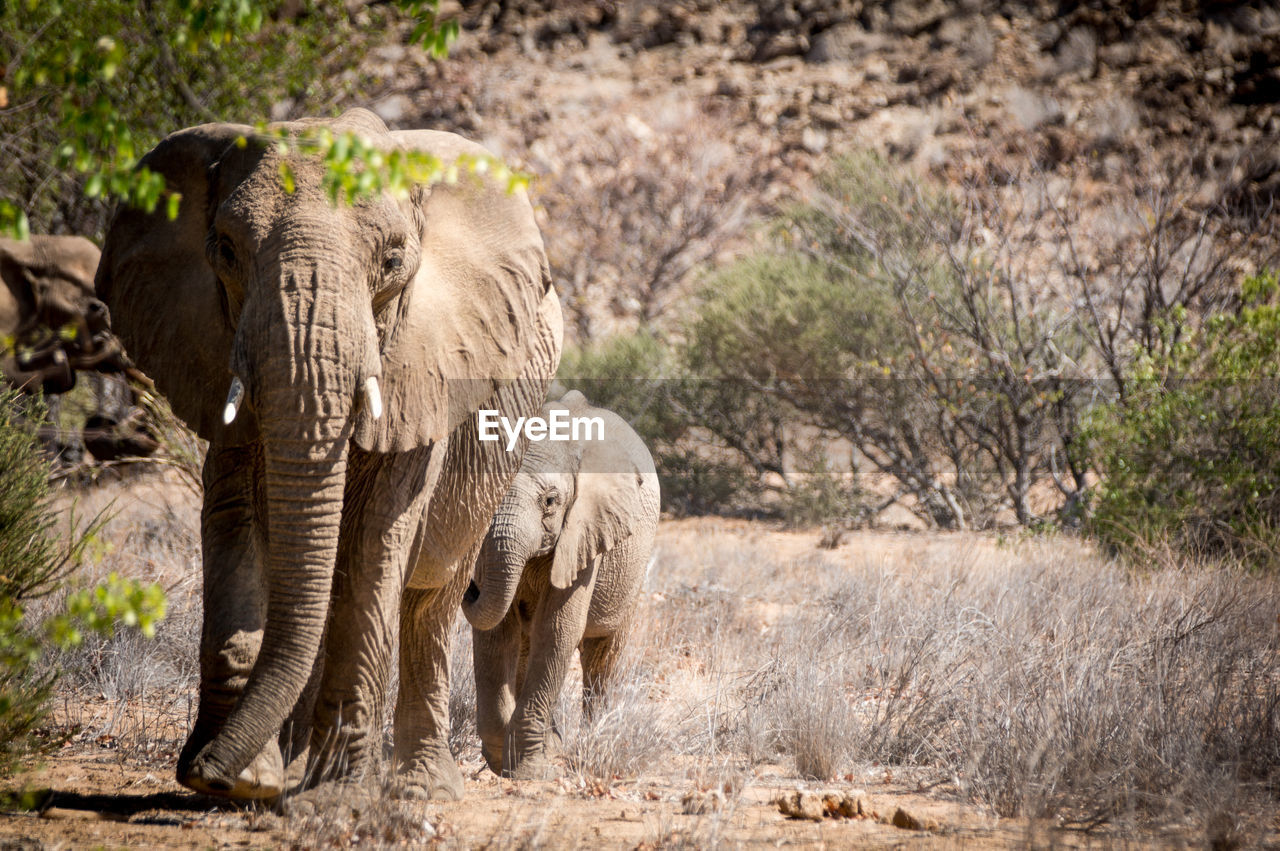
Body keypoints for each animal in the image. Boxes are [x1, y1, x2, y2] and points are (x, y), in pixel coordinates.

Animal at [97, 109, 563, 798]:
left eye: (393, 260)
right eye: (225, 250)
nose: (204, 771)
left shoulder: (422, 369)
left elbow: (375, 537)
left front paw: (334, 790)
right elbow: (234, 518)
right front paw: (249, 779)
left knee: (430, 603)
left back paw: (420, 786)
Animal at [463, 391, 660, 778]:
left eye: (550, 501)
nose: (470, 587)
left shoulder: (587, 529)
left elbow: (558, 628)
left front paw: (528, 769)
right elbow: (496, 632)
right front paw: (503, 761)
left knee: (602, 653)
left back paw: (596, 737)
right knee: (525, 646)